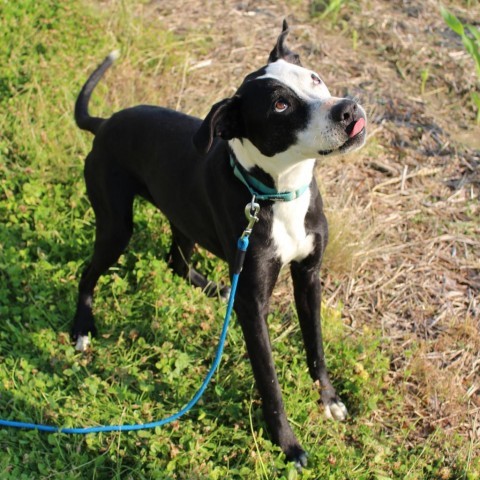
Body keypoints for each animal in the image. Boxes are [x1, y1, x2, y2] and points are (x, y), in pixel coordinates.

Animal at [72, 20, 368, 466]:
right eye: (280, 106)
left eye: (314, 78)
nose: (347, 109)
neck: (277, 192)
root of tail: (104, 124)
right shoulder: (252, 307)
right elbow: (270, 382)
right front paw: (288, 445)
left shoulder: (308, 276)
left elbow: (315, 345)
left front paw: (329, 399)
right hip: (115, 228)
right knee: (88, 272)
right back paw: (81, 328)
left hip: (182, 215)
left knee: (176, 261)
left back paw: (213, 287)